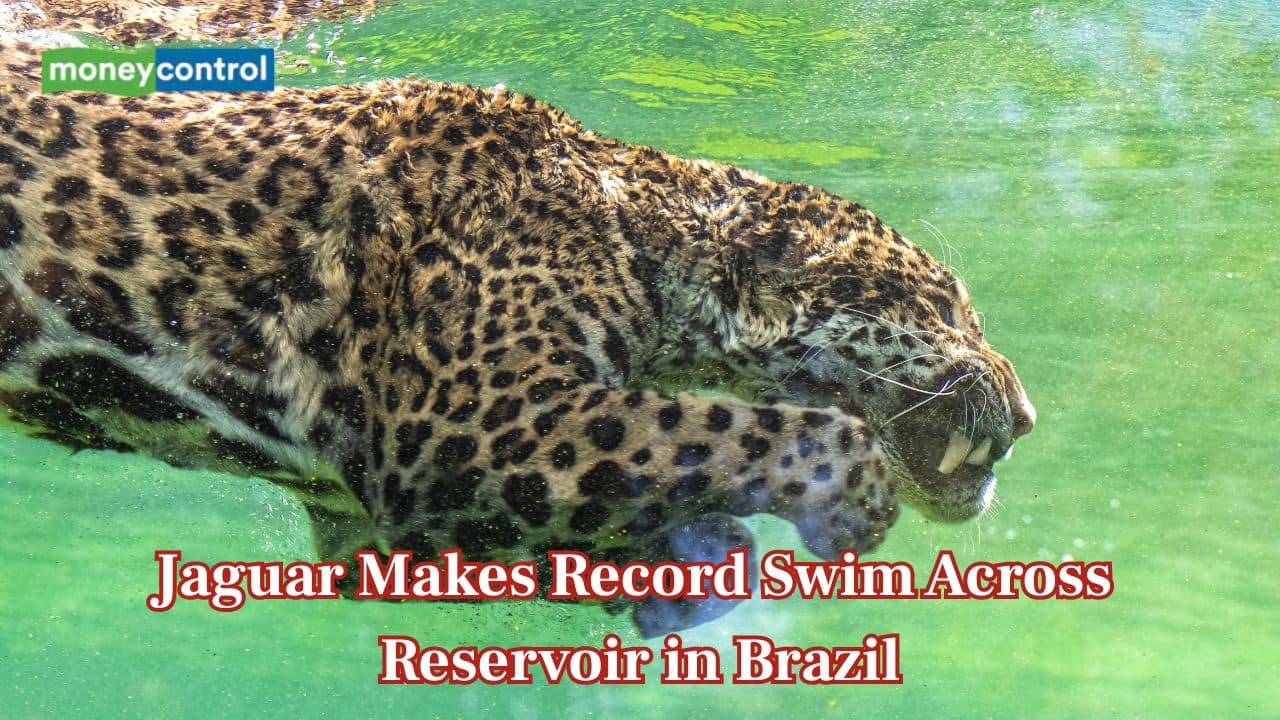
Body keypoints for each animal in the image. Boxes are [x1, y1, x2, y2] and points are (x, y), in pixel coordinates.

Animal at [0, 39, 1034, 636]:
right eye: (948, 307)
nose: (1025, 416)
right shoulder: (473, 424)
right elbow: (728, 425)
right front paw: (844, 500)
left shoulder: (378, 531)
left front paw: (691, 564)